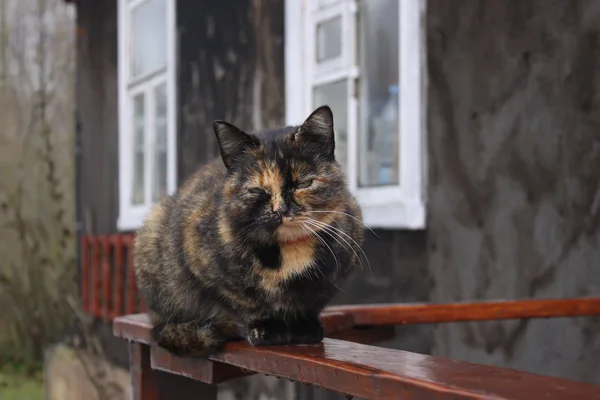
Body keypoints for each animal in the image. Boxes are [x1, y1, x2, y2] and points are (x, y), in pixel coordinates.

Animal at [133, 105, 364, 356]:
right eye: (257, 190)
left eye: (303, 183)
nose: (280, 210)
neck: (290, 253)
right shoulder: (202, 262)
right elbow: (244, 300)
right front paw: (267, 328)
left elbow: (313, 300)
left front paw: (305, 327)